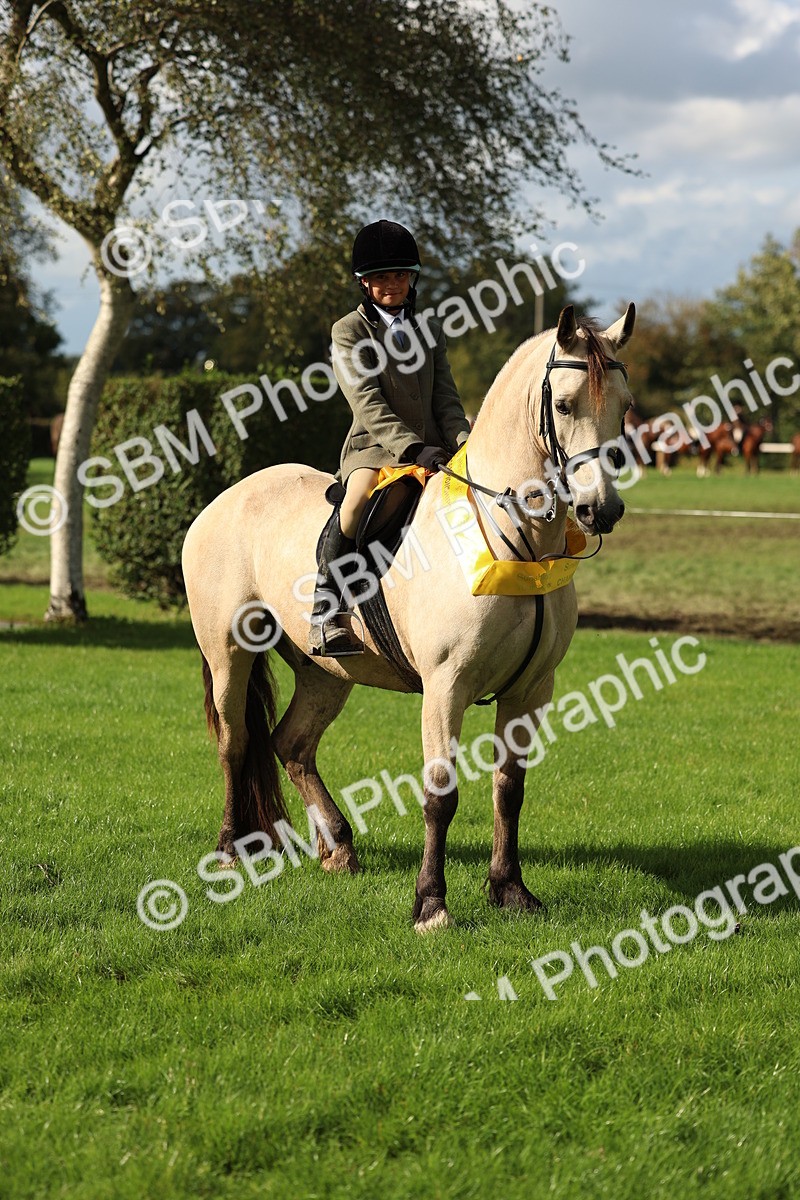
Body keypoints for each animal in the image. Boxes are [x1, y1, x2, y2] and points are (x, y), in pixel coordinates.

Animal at [181, 304, 636, 932]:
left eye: (624, 405)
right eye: (564, 405)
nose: (601, 510)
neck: (513, 539)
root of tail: (224, 500)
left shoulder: (531, 689)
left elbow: (509, 789)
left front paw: (510, 890)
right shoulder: (446, 687)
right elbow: (441, 795)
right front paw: (431, 905)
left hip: (327, 673)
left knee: (291, 744)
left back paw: (337, 847)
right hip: (229, 653)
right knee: (236, 742)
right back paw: (229, 851)